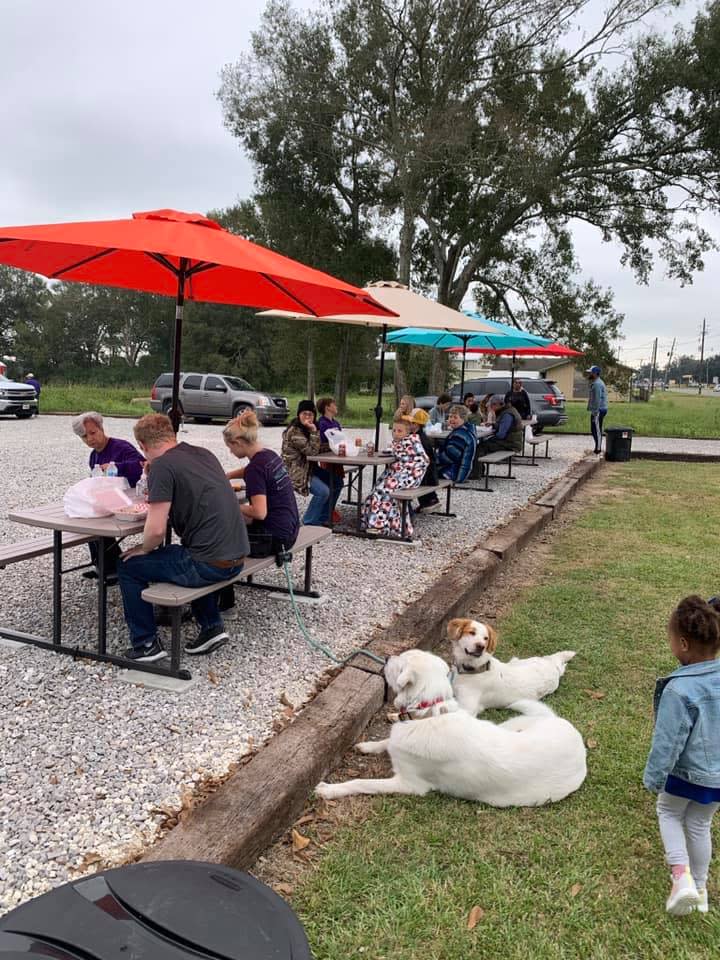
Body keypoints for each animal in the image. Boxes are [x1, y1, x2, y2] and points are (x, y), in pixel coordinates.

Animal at [316, 644, 584, 808]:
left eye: (400, 663)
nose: (389, 657)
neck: (428, 714)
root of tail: (577, 739)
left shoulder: (409, 784)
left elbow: (363, 783)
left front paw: (329, 789)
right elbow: (386, 742)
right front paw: (368, 746)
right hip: (511, 724)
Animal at [448, 620, 576, 716]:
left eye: (486, 638)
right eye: (471, 632)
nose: (481, 646)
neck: (476, 668)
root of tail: (552, 665)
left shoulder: (468, 709)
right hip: (516, 661)